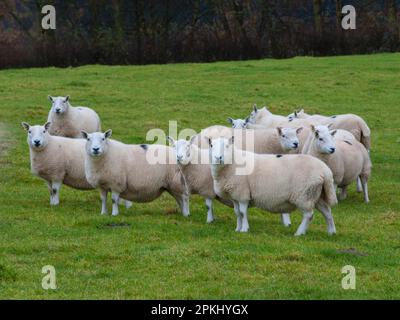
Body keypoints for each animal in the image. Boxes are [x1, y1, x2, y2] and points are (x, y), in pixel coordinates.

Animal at [206, 135, 338, 235]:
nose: (218, 157)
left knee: (308, 215)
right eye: (211, 146)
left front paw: (244, 229)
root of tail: (325, 171)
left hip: (304, 194)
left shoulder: (242, 193)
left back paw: (299, 233)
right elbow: (237, 213)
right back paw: (331, 232)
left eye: (227, 146)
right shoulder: (235, 195)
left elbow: (243, 213)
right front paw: (237, 229)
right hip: (316, 194)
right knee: (327, 212)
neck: (231, 164)